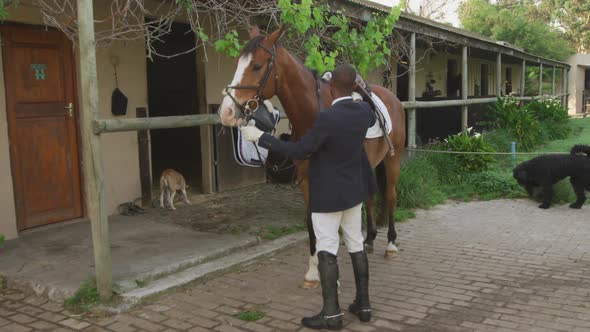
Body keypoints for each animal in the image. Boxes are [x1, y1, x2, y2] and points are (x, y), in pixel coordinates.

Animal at [219, 29, 408, 288]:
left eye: (257, 66)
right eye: (238, 63)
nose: (226, 112)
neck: (315, 114)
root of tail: (392, 97)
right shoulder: (306, 180)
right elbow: (311, 222)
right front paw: (313, 271)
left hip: (393, 160)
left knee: (390, 197)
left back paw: (391, 244)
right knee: (370, 198)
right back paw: (368, 240)